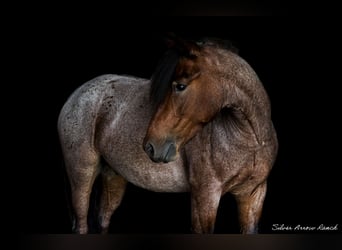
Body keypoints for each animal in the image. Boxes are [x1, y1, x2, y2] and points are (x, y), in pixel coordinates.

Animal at [58, 35, 278, 234]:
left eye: (180, 86)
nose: (150, 146)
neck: (249, 141)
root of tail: (76, 96)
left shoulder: (253, 195)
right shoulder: (205, 197)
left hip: (113, 176)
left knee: (102, 219)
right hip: (82, 175)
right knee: (81, 224)